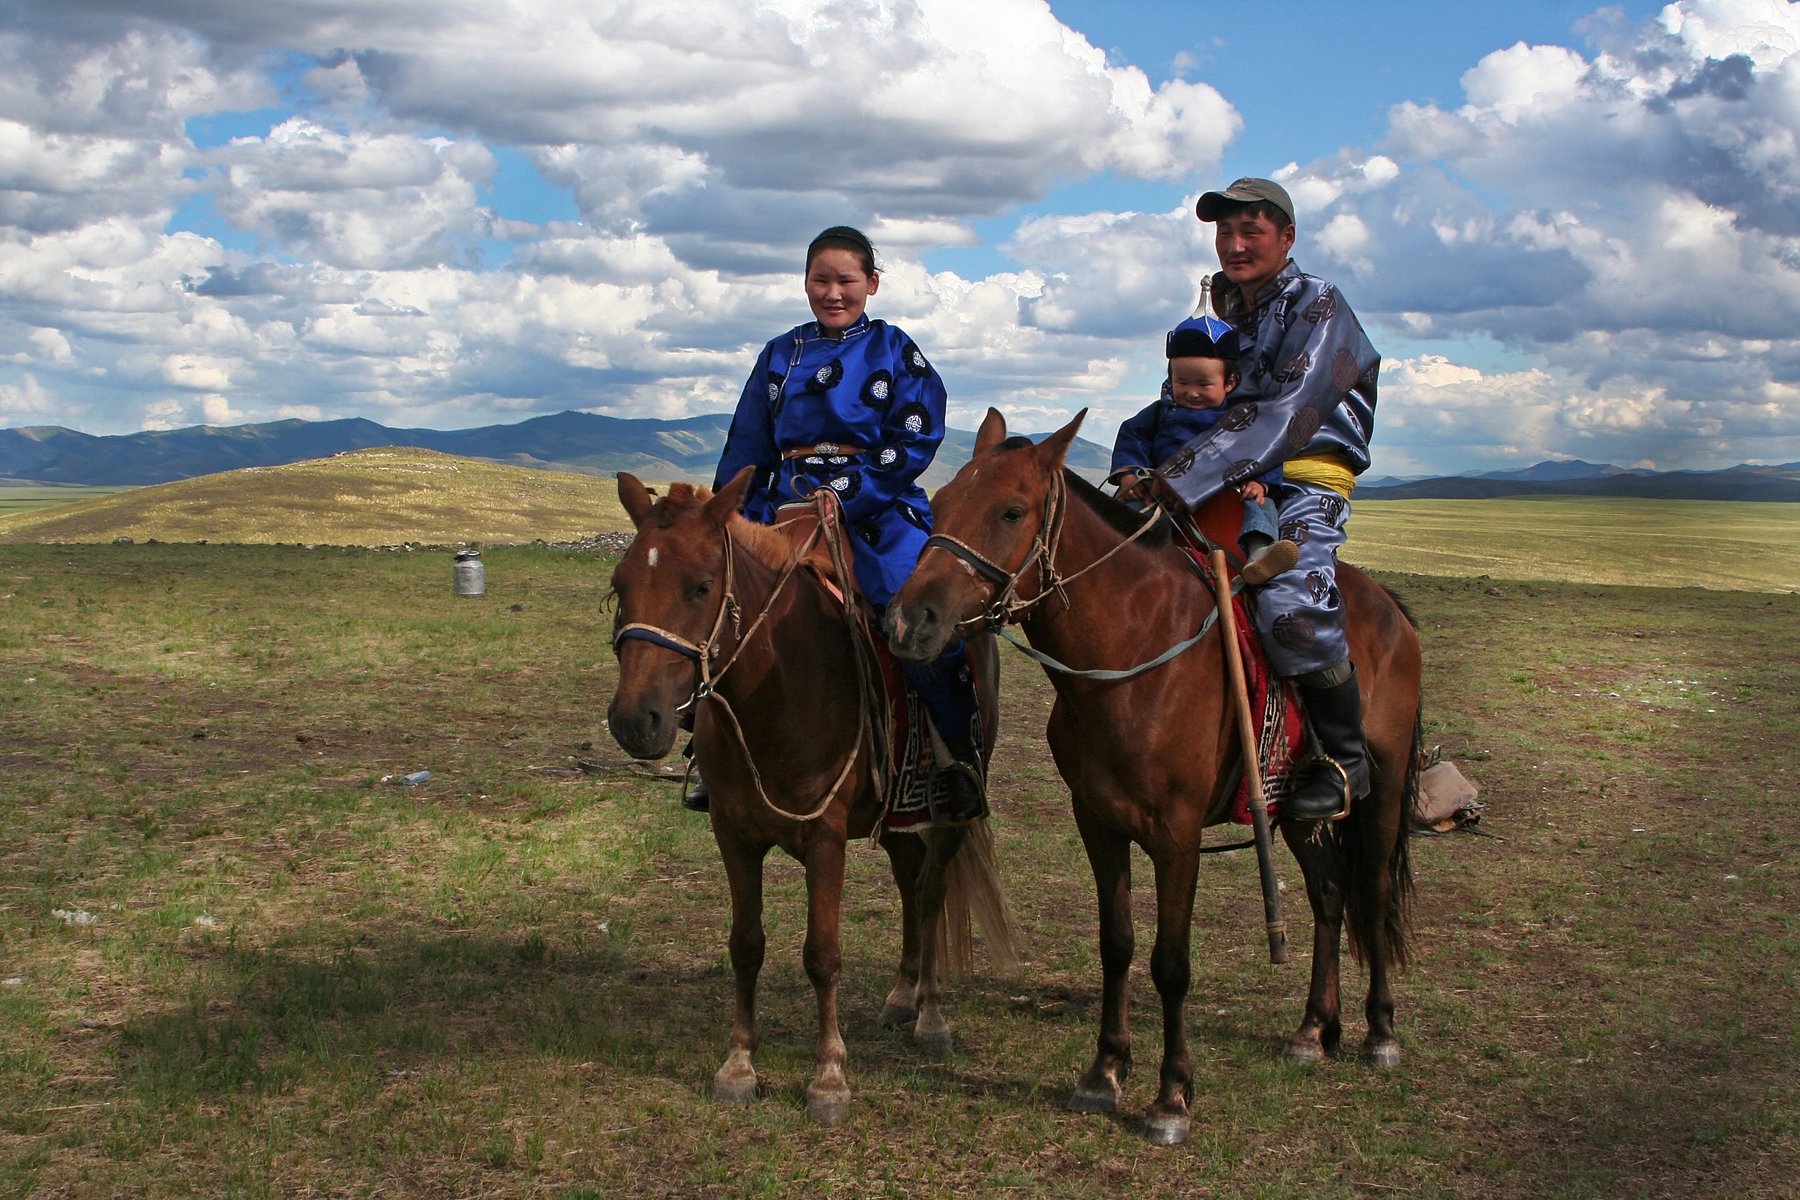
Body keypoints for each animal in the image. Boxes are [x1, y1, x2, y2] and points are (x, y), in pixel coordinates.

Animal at [608, 467, 1015, 1129]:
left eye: (700, 587)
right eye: (620, 585)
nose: (634, 721)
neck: (776, 683)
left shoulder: (825, 838)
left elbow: (822, 954)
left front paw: (828, 1078)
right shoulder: (734, 835)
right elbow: (745, 946)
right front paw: (738, 1066)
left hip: (950, 812)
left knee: (930, 893)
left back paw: (929, 1015)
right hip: (897, 815)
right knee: (910, 882)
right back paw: (901, 996)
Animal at [885, 410, 1418, 1144]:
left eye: (1011, 510)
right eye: (936, 506)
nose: (909, 623)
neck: (1129, 656)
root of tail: (1388, 604)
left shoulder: (1177, 834)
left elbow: (1170, 962)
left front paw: (1171, 1097)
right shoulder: (1097, 821)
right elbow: (1117, 945)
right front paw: (1104, 1073)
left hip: (1383, 790)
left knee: (1372, 890)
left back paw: (1381, 1033)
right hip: (1296, 807)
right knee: (1330, 894)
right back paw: (1314, 1029)